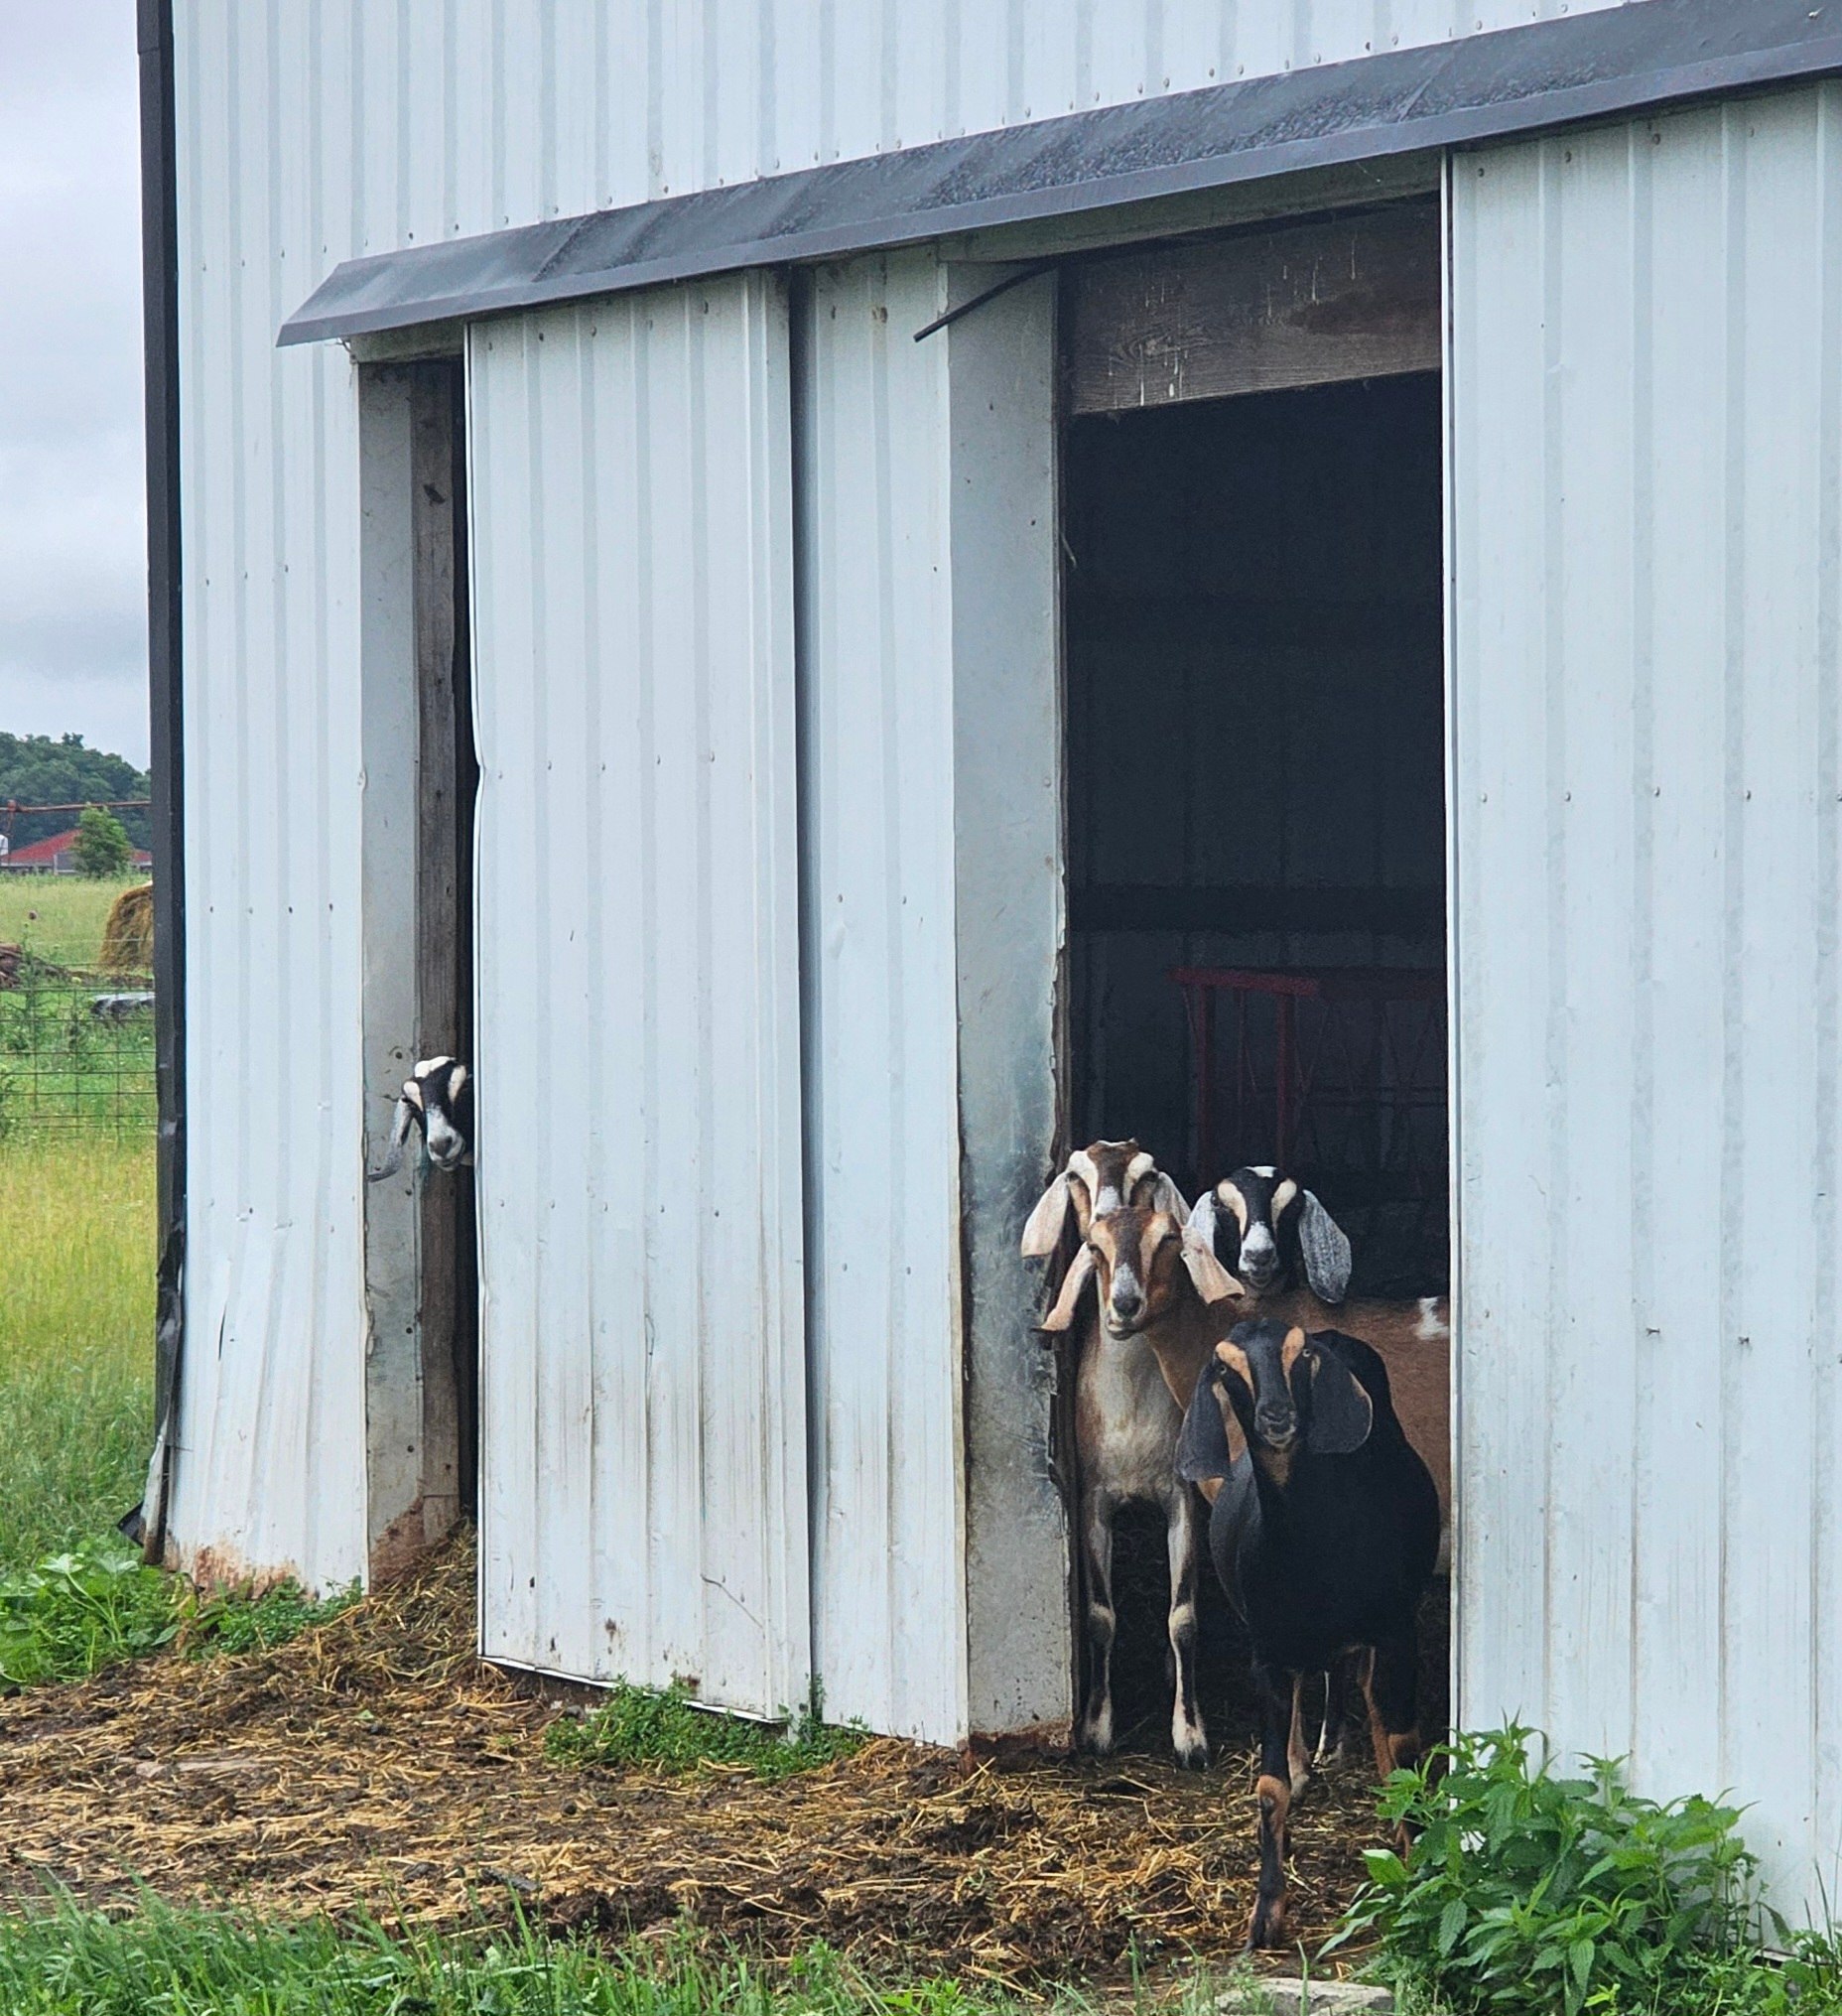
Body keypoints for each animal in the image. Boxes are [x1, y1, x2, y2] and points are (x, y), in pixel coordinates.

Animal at [1026, 1147, 1240, 1768]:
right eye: (1076, 1176)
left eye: (1147, 1175)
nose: (1123, 1303)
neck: (1132, 1416)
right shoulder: (1092, 1501)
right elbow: (1100, 1617)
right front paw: (1097, 1728)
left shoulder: (1183, 1501)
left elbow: (1184, 1617)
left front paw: (1190, 1736)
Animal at [1178, 1319, 1440, 1949]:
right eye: (1225, 1367)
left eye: (1302, 1358)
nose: (1276, 1416)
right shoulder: (1267, 1654)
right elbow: (1268, 1786)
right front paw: (1265, 1913)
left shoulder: (1397, 1631)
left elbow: (1404, 1747)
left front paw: (1418, 1861)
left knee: (1375, 1705)